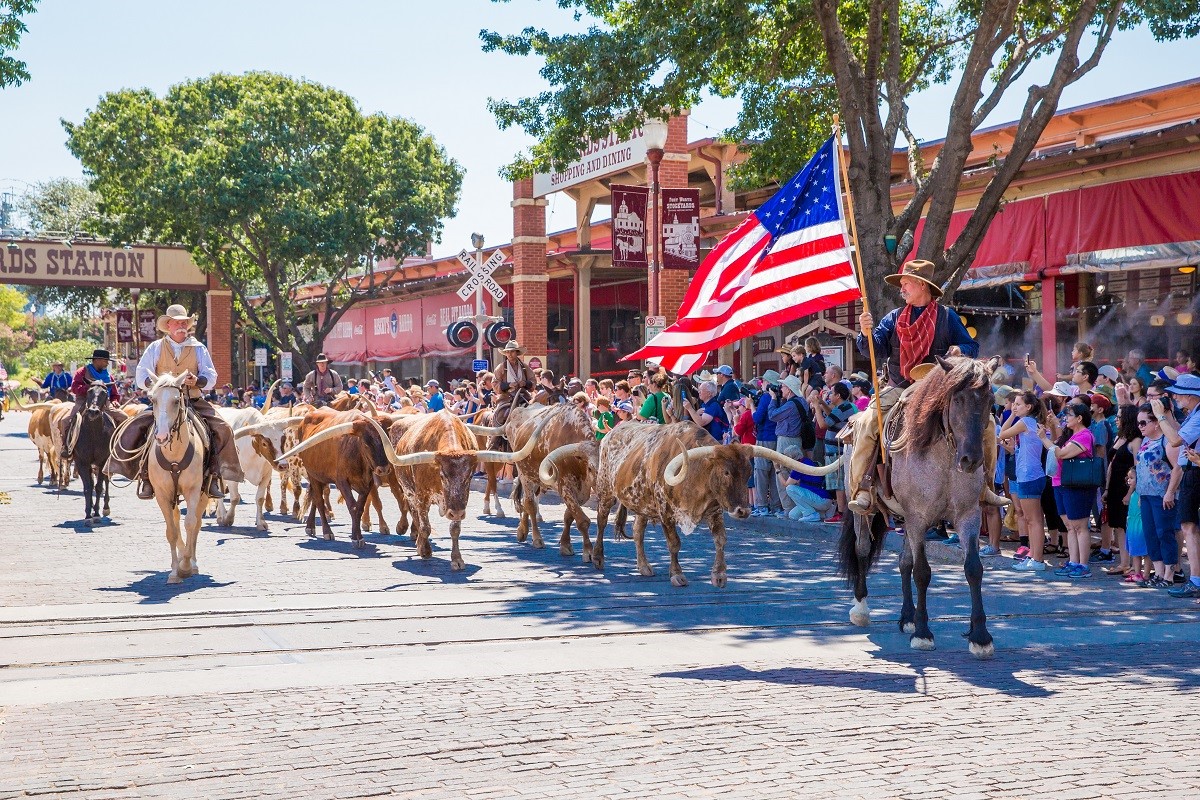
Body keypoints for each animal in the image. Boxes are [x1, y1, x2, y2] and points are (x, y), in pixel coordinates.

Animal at [144, 371, 210, 585]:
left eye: (175, 401)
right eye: (153, 400)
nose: (162, 437)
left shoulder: (193, 490)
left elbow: (190, 523)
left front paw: (187, 566)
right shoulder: (162, 494)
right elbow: (171, 531)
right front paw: (175, 571)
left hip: (205, 493)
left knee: (196, 523)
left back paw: (192, 563)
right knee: (175, 520)